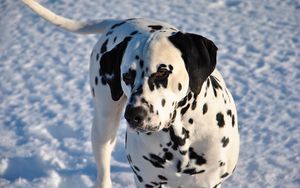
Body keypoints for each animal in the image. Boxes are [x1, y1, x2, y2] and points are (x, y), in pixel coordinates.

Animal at [22, 0, 239, 187]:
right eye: (126, 76)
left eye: (162, 72)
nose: (134, 115)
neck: (180, 139)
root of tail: (119, 22)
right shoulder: (146, 181)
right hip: (104, 123)